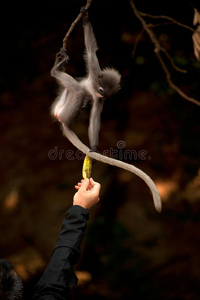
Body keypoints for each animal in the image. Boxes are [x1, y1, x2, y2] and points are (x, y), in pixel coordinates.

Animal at [50, 12, 162, 213]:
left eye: (106, 93)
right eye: (102, 90)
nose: (102, 94)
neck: (95, 89)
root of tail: (65, 123)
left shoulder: (98, 95)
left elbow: (95, 116)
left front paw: (94, 148)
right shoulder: (95, 78)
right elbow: (91, 51)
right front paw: (85, 17)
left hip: (64, 109)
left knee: (78, 91)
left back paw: (56, 69)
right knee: (77, 89)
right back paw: (59, 65)